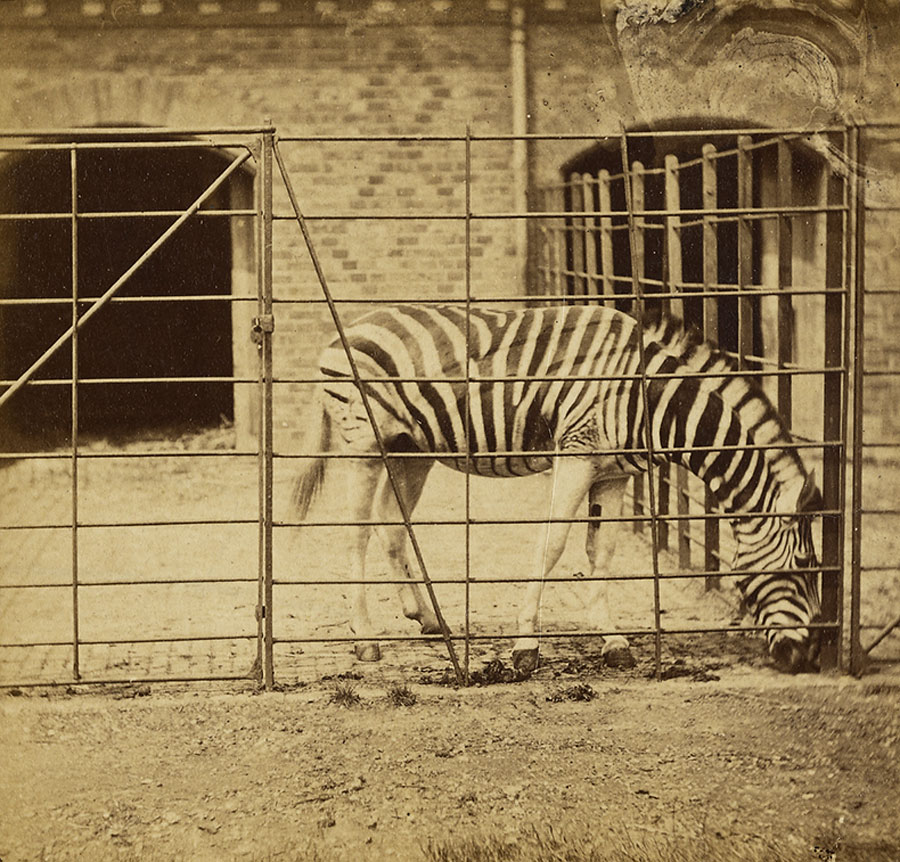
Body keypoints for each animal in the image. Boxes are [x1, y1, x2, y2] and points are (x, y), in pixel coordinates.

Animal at [294, 303, 823, 674]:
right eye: (803, 567)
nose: (808, 657)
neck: (650, 397)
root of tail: (344, 331)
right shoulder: (575, 456)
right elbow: (552, 545)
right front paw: (526, 646)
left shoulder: (612, 473)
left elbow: (601, 555)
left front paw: (613, 641)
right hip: (365, 444)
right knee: (357, 534)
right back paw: (364, 638)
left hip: (409, 450)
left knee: (391, 526)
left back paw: (427, 618)